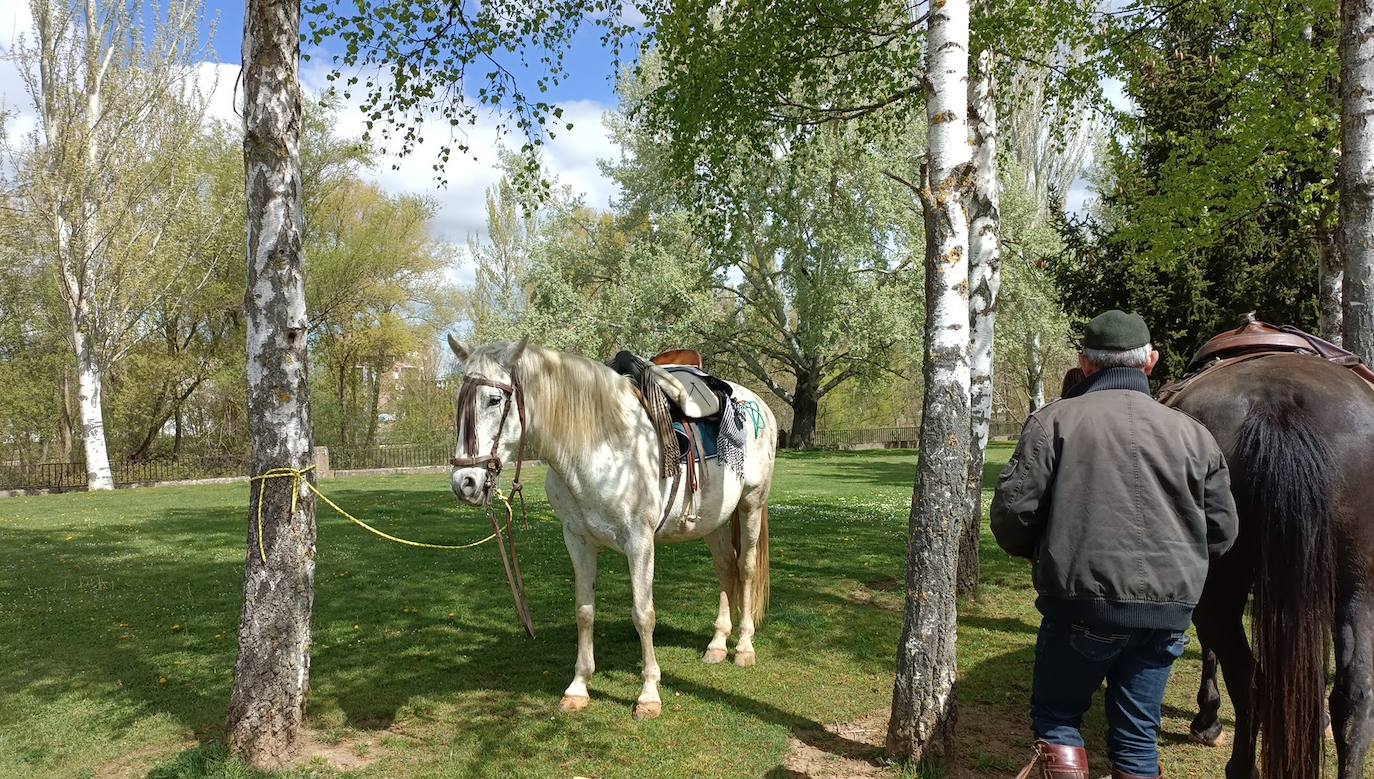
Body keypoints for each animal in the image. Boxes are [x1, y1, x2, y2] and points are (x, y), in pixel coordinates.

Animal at [447, 337, 780, 719]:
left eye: (494, 400)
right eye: (459, 402)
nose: (464, 482)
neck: (599, 445)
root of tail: (758, 405)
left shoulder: (640, 542)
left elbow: (643, 614)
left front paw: (649, 694)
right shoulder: (577, 540)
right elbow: (584, 611)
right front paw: (578, 686)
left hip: (751, 504)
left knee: (746, 568)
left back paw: (743, 648)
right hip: (715, 520)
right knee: (726, 568)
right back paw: (717, 645)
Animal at [1170, 354, 1374, 779]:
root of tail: (1277, 406)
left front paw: (1207, 720)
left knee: (1250, 679)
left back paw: (1241, 765)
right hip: (1360, 585)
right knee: (1354, 695)